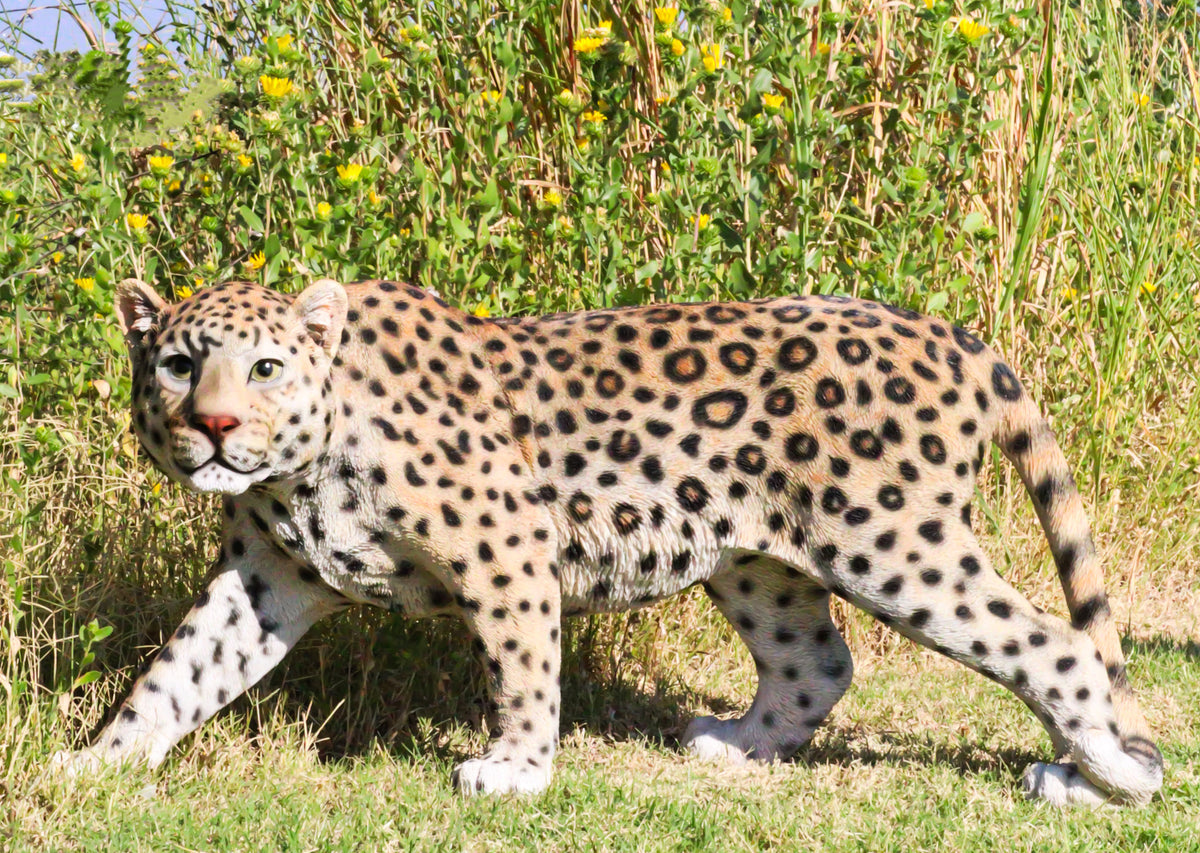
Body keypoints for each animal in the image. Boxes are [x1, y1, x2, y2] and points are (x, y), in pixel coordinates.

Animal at [53, 275, 1163, 807]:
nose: (214, 426)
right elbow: (178, 673)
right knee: (818, 661)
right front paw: (99, 759)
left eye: (267, 367)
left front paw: (514, 769)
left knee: (1053, 643)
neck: (297, 467)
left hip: (891, 538)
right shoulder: (266, 577)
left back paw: (1100, 776)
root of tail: (947, 330)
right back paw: (738, 744)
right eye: (179, 364)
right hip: (756, 554)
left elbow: (519, 664)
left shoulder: (502, 537)